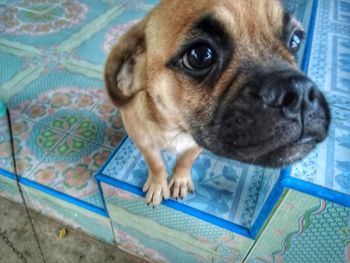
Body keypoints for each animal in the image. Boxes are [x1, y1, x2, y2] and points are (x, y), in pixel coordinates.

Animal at [103, 0, 328, 207]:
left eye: (295, 40)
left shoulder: (196, 145)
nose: (300, 92)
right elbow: (156, 164)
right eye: (201, 55)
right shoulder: (144, 143)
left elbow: (185, 160)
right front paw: (158, 184)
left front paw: (179, 179)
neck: (176, 127)